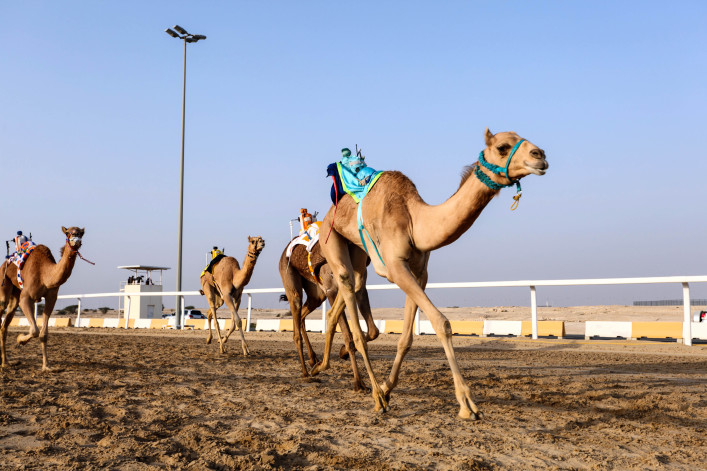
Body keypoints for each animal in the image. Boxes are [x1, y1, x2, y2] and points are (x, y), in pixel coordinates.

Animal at [0, 226, 86, 370]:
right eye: (68, 233)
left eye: (81, 233)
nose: (76, 240)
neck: (45, 274)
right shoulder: (26, 297)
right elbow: (34, 330)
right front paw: (20, 339)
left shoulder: (51, 297)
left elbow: (43, 334)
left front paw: (46, 366)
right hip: (4, 284)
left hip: (15, 295)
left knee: (4, 326)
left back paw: (6, 362)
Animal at [278, 240, 378, 391]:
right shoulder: (332, 290)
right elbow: (348, 336)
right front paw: (358, 382)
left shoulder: (359, 287)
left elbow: (373, 331)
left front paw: (342, 352)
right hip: (291, 281)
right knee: (296, 325)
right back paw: (305, 372)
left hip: (316, 295)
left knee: (301, 316)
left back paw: (313, 359)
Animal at [313, 128, 548, 419]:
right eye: (503, 147)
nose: (540, 155)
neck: (415, 221)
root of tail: (329, 212)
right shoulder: (396, 267)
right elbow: (441, 323)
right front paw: (467, 404)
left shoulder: (419, 273)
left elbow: (406, 338)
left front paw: (388, 387)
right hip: (331, 236)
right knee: (350, 298)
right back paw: (374, 395)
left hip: (357, 252)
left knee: (348, 294)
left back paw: (322, 366)